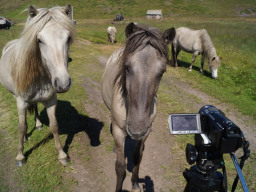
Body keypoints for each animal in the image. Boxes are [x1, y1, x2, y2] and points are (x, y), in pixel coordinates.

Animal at [0, 4, 76, 166]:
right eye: (39, 40)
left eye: (68, 38)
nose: (63, 83)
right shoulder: (21, 102)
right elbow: (21, 127)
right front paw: (20, 156)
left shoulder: (51, 100)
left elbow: (54, 126)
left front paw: (62, 154)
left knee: (34, 106)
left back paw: (39, 124)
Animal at [101, 22, 175, 192]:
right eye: (126, 67)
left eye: (162, 72)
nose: (136, 129)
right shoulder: (119, 130)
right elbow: (120, 166)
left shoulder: (145, 134)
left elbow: (137, 157)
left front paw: (134, 182)